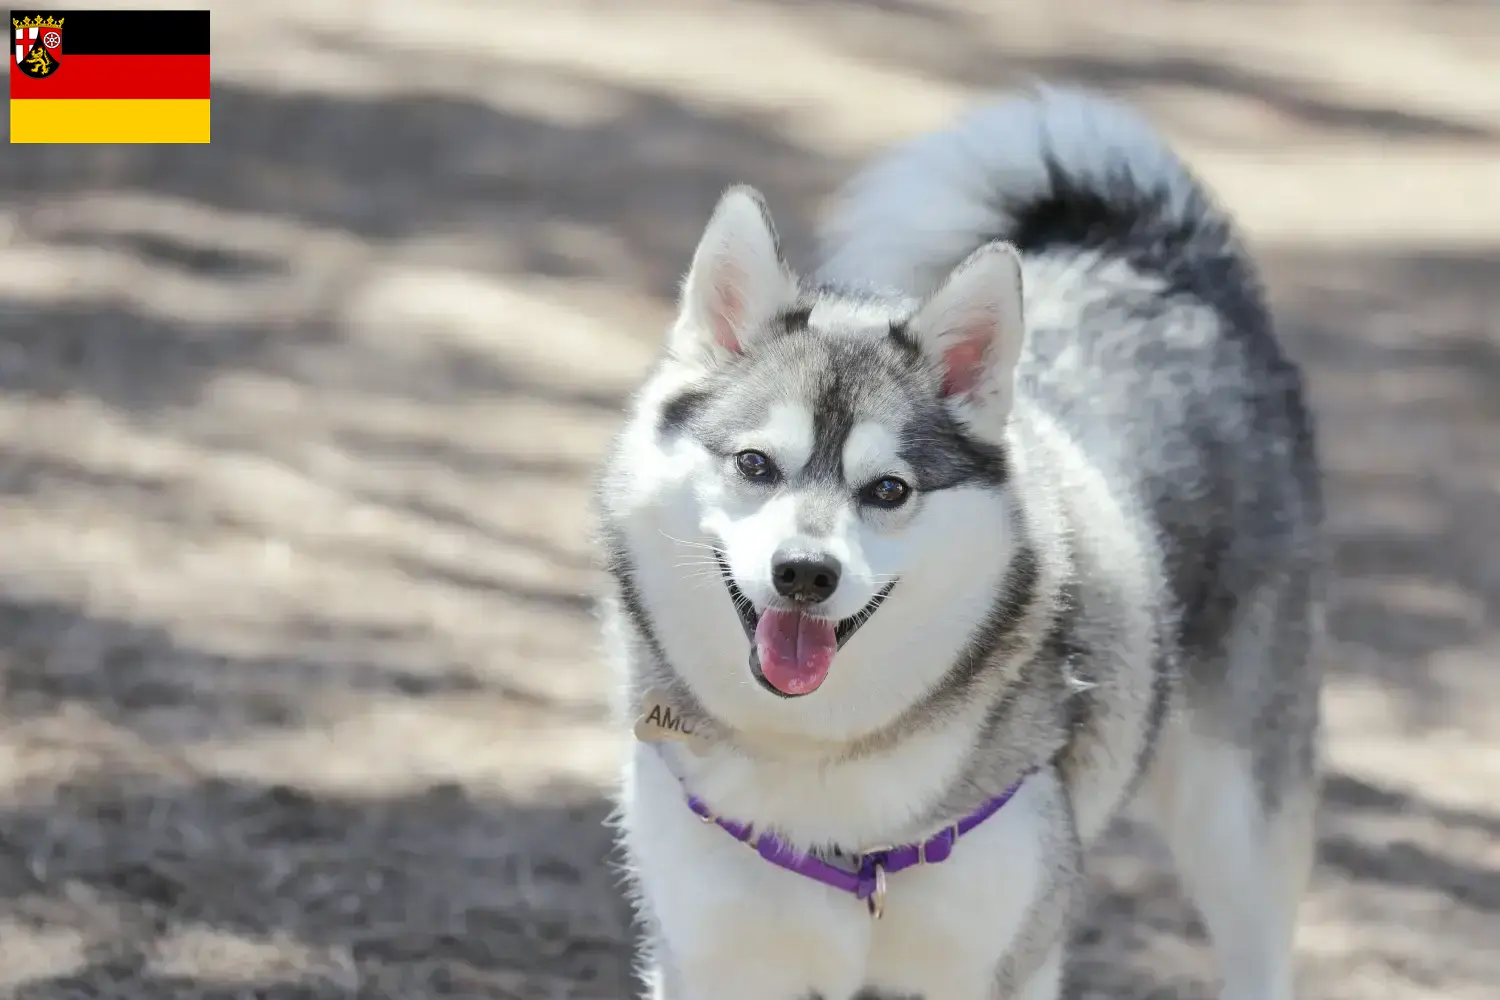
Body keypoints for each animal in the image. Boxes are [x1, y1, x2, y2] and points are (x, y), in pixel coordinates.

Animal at [597, 88, 1326, 1000]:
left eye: (888, 490)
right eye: (756, 464)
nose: (803, 574)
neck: (825, 775)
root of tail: (1150, 255)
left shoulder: (997, 962)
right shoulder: (712, 960)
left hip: (1237, 818)